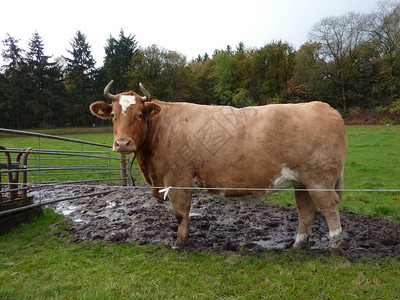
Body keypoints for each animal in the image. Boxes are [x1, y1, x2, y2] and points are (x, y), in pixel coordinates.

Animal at [90, 81, 346, 252]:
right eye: (112, 115)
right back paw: (298, 244)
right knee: (306, 209)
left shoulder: (177, 179)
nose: (123, 143)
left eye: (140, 114)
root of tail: (326, 107)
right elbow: (185, 213)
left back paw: (334, 245)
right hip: (302, 181)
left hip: (319, 179)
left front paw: (179, 243)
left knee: (329, 206)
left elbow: (180, 213)